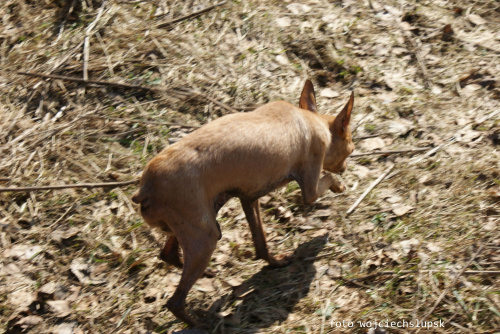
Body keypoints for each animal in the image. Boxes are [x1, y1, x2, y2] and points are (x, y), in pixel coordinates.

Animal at [131, 81, 354, 326]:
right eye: (351, 149)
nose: (345, 167)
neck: (310, 118)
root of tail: (147, 187)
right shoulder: (310, 190)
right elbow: (327, 178)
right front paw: (339, 185)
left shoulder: (249, 198)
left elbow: (261, 242)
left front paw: (274, 263)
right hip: (205, 236)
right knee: (175, 302)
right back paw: (201, 323)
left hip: (198, 221)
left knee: (169, 255)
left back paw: (206, 274)